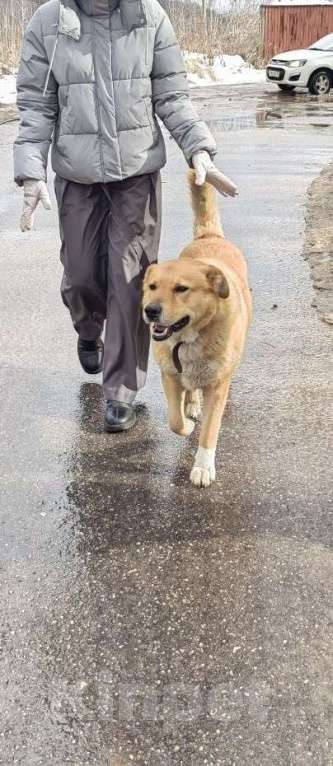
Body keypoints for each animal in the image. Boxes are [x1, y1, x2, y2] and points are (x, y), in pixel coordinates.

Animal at [141, 172, 250, 486]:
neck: (189, 339)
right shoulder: (169, 375)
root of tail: (209, 237)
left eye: (181, 289)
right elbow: (174, 421)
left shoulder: (218, 387)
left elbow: (210, 431)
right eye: (152, 286)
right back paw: (191, 404)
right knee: (189, 390)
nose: (150, 310)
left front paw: (202, 466)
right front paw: (187, 425)